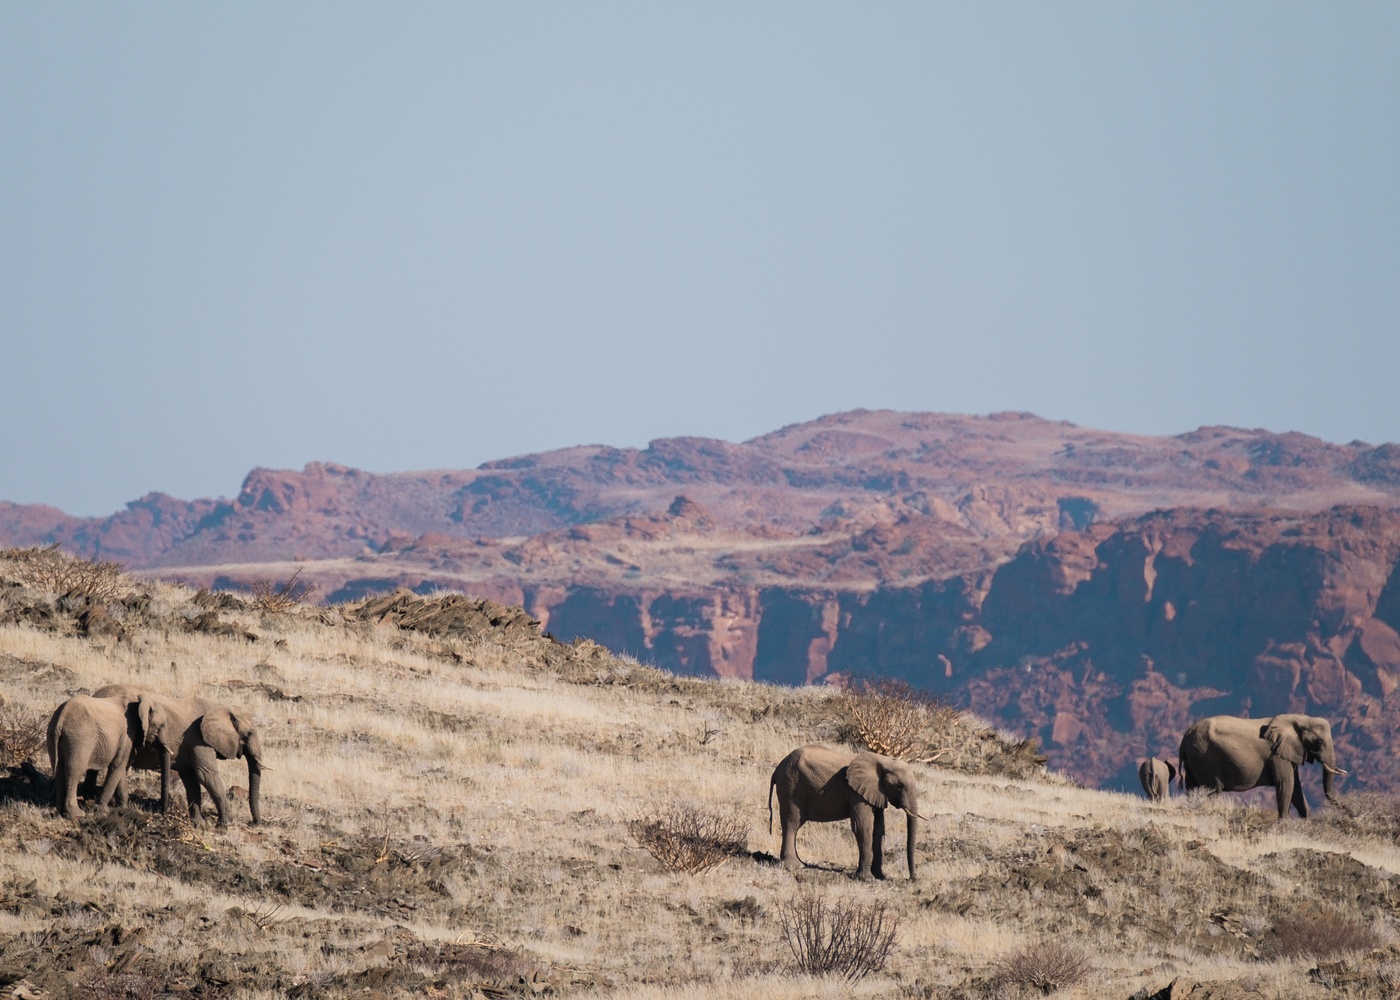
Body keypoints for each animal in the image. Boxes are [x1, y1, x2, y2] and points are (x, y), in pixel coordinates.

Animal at [92, 677, 264, 823]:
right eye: (249, 733)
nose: (255, 823)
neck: (220, 707)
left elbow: (191, 778)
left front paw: (199, 824)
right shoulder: (198, 739)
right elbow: (206, 774)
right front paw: (225, 824)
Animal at [767, 739, 918, 879]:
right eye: (899, 786)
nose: (912, 878)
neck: (883, 761)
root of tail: (777, 769)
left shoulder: (876, 792)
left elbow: (879, 829)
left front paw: (880, 877)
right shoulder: (857, 793)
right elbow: (862, 826)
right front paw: (867, 879)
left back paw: (801, 864)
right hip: (790, 785)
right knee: (792, 822)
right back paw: (794, 866)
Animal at [1181, 708, 1344, 817]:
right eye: (1319, 742)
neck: (1299, 719)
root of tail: (1186, 736)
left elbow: (1296, 787)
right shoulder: (1276, 755)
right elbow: (1286, 783)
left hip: (1194, 760)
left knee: (1192, 789)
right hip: (1205, 757)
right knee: (1212, 791)